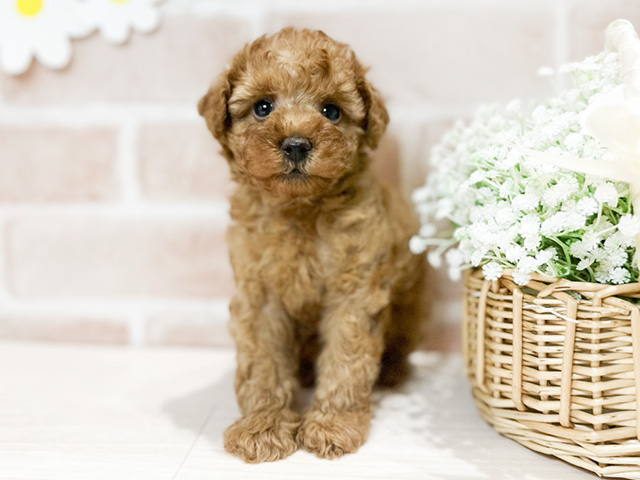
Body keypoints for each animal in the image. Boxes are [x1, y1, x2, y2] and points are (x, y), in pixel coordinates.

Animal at [198, 28, 422, 464]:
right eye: (263, 107)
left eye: (331, 111)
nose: (297, 144)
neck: (300, 209)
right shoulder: (260, 296)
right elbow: (263, 363)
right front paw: (262, 427)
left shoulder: (353, 292)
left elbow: (346, 360)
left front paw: (333, 425)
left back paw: (391, 372)